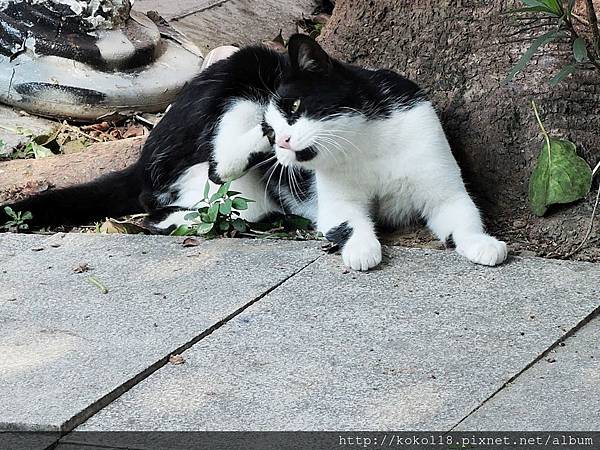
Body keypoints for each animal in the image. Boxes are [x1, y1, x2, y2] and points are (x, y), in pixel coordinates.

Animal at [1, 34, 506, 270]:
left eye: (297, 106)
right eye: (279, 118)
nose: (278, 138)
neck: (368, 144)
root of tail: (142, 159)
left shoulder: (437, 173)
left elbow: (462, 214)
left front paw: (484, 245)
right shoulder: (336, 200)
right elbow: (347, 222)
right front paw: (362, 249)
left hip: (243, 195)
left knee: (180, 209)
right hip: (243, 70)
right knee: (185, 184)